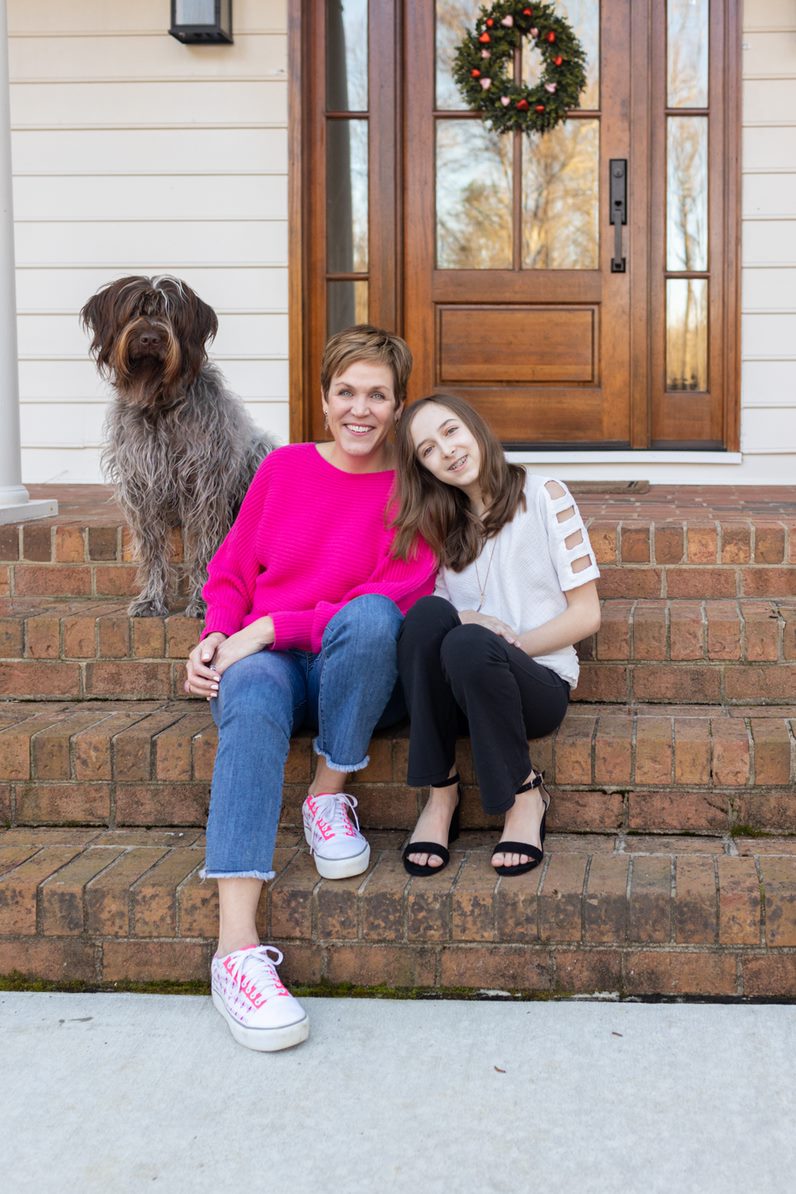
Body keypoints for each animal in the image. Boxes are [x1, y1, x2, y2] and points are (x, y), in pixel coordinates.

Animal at [79, 275, 275, 620]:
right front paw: (152, 599)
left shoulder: (204, 488)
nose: (149, 338)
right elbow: (152, 550)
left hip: (260, 450)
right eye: (134, 311)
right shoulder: (141, 489)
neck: (159, 405)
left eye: (169, 313)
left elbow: (205, 549)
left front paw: (203, 601)